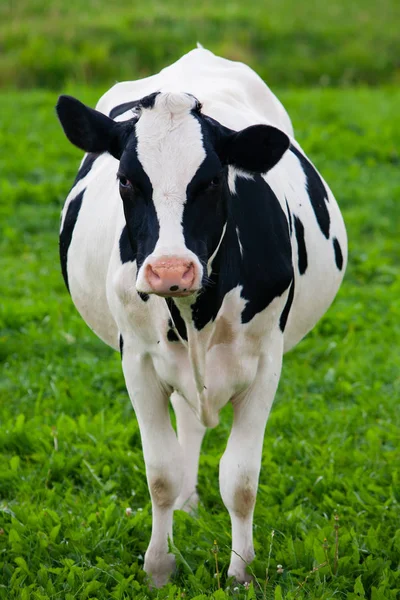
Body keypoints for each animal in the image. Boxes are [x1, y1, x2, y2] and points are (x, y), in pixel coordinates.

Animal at [56, 47, 346, 584]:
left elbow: (241, 480)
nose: (171, 269)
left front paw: (241, 573)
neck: (198, 315)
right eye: (127, 179)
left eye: (211, 180)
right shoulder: (138, 361)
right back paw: (187, 505)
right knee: (186, 426)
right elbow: (161, 473)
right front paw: (159, 566)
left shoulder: (266, 362)